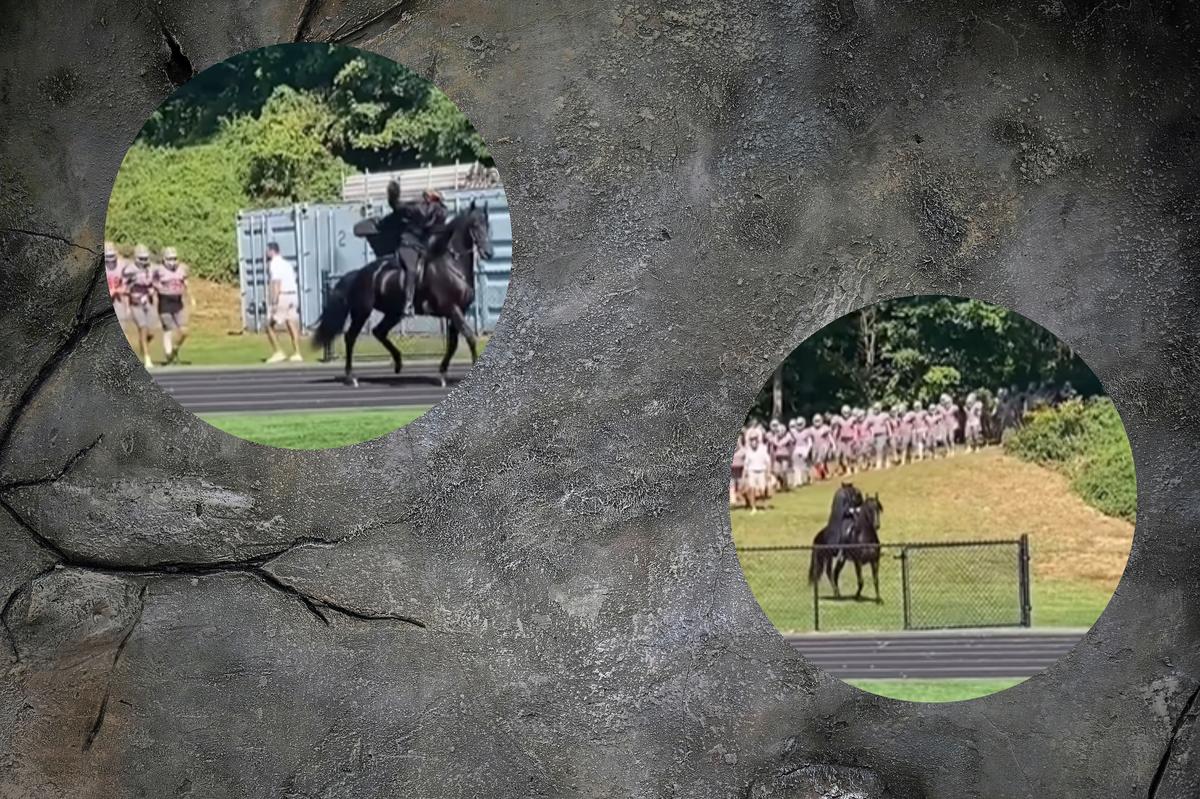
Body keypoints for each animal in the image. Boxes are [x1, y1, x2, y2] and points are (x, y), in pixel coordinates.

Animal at [314, 199, 496, 386]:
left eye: (487, 224)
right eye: (475, 225)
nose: (488, 253)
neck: (452, 265)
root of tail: (358, 274)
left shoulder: (458, 312)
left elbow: (453, 343)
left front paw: (443, 374)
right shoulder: (452, 310)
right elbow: (469, 337)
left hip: (393, 313)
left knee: (379, 332)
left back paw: (398, 362)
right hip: (362, 311)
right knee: (351, 337)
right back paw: (351, 377)